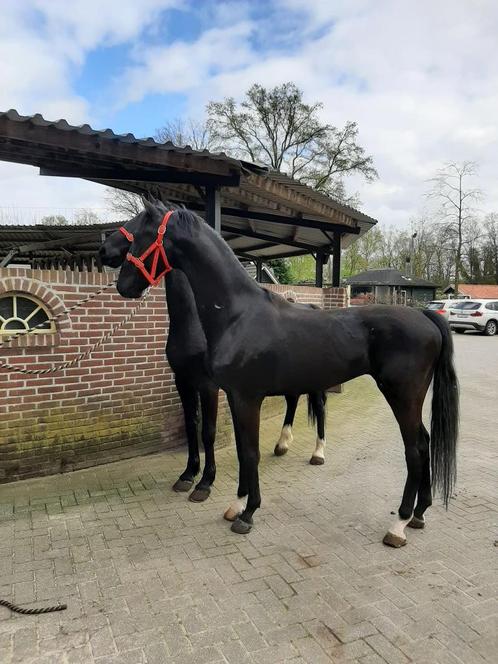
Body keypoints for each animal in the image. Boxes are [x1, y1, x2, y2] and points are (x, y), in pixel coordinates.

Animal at [99, 213, 328, 504]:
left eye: (139, 222)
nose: (104, 250)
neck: (195, 323)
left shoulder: (209, 386)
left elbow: (208, 431)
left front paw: (205, 482)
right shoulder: (184, 381)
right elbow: (192, 426)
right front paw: (188, 474)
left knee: (319, 407)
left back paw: (318, 452)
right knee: (293, 399)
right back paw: (282, 443)